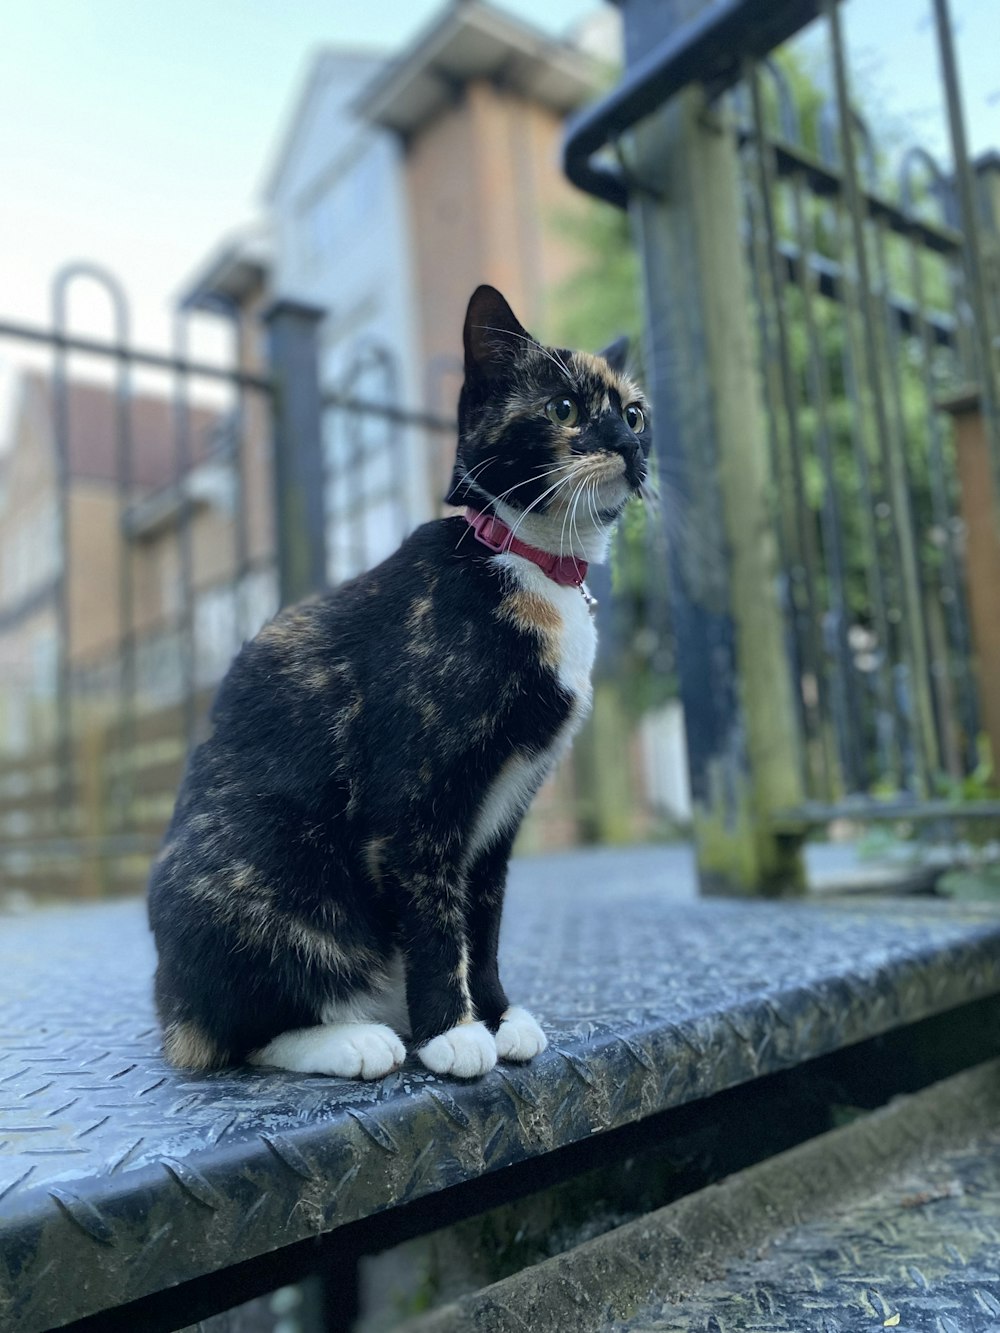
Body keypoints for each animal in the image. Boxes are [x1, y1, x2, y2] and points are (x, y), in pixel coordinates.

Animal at [146, 283, 650, 1082]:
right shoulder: (414, 797)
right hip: (255, 880)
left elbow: (483, 917)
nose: (628, 447)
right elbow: (436, 916)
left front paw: (497, 1013)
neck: (526, 561)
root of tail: (168, 1001)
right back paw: (353, 1037)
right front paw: (453, 1032)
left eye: (633, 414)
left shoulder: (500, 818)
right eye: (564, 408)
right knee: (237, 1033)